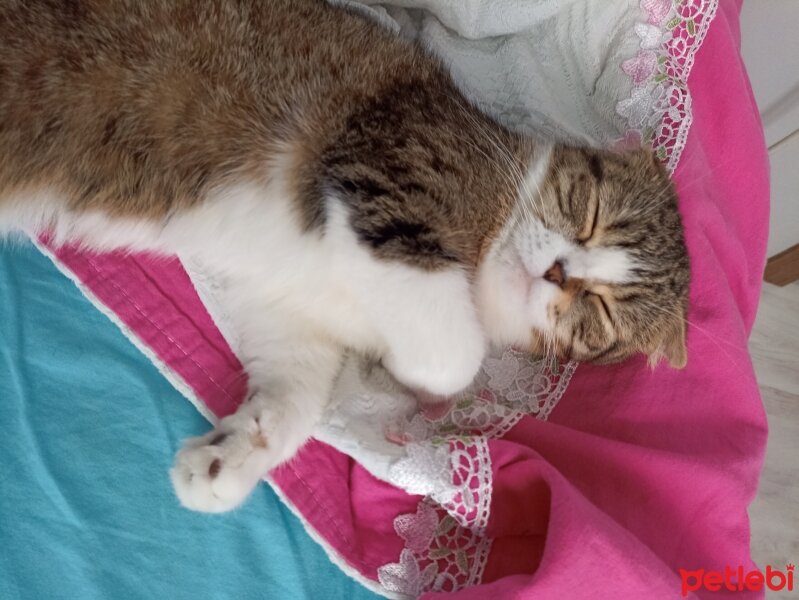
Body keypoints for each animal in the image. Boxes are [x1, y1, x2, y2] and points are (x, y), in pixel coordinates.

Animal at [0, 1, 688, 516]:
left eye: (599, 312)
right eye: (590, 211)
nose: (559, 272)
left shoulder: (287, 306)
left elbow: (296, 393)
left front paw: (233, 453)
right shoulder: (388, 170)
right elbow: (454, 356)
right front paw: (407, 373)